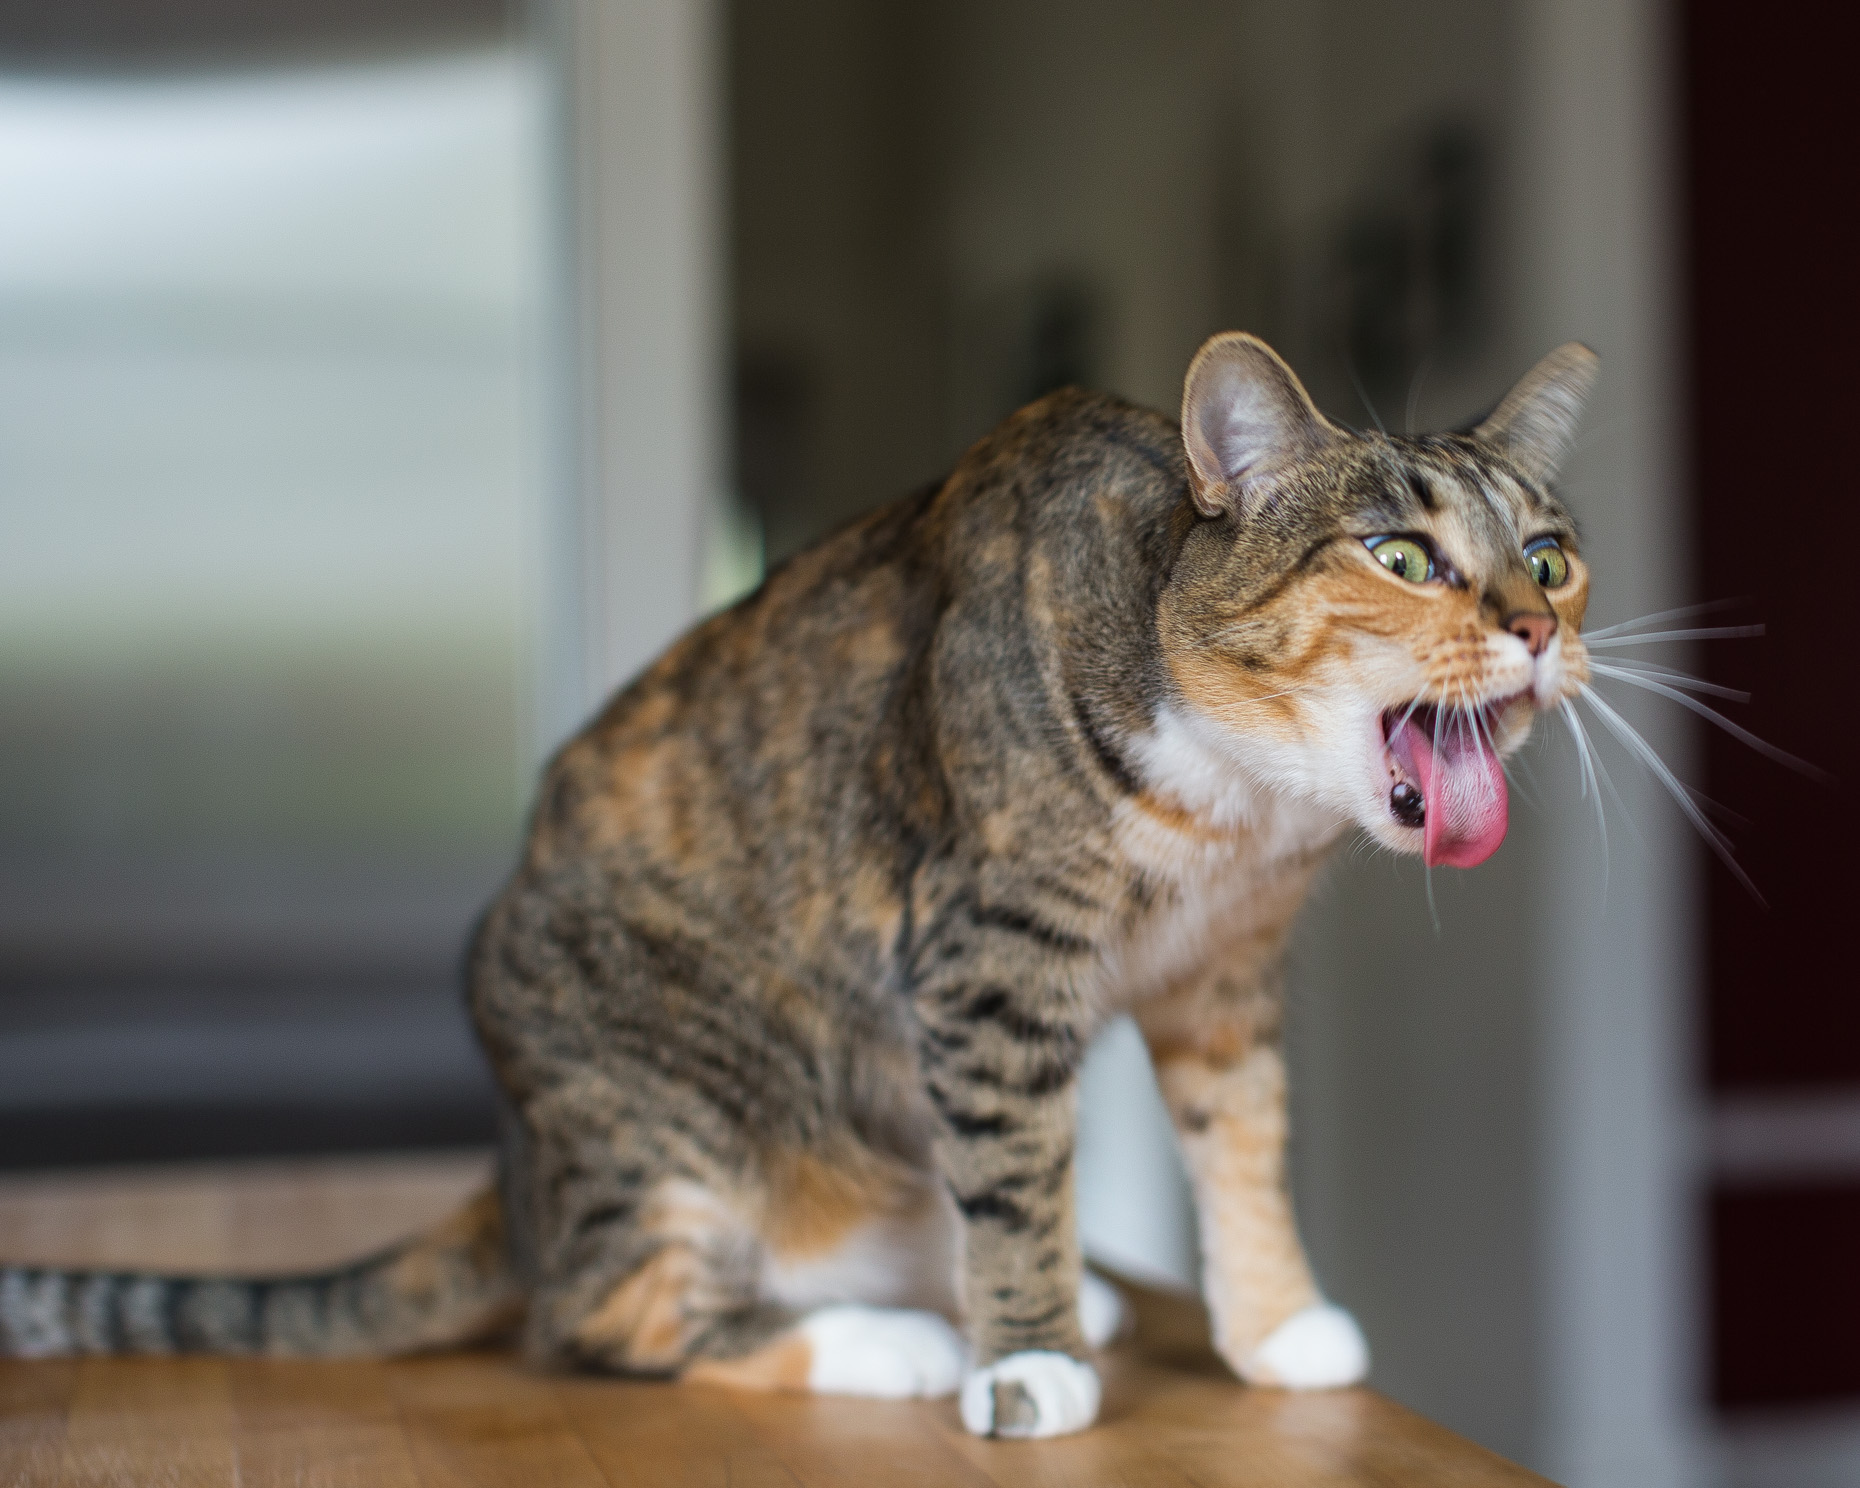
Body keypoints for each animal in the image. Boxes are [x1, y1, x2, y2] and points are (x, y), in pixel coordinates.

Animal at [0, 331, 1599, 1435]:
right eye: (1400, 555)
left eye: (1550, 556)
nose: (1536, 631)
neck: (1241, 821)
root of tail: (519, 1174)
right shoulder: (988, 950)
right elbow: (1018, 1156)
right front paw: (1028, 1361)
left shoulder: (1227, 974)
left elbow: (1241, 1142)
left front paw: (1276, 1329)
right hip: (669, 1113)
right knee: (605, 1316)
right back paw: (905, 1341)